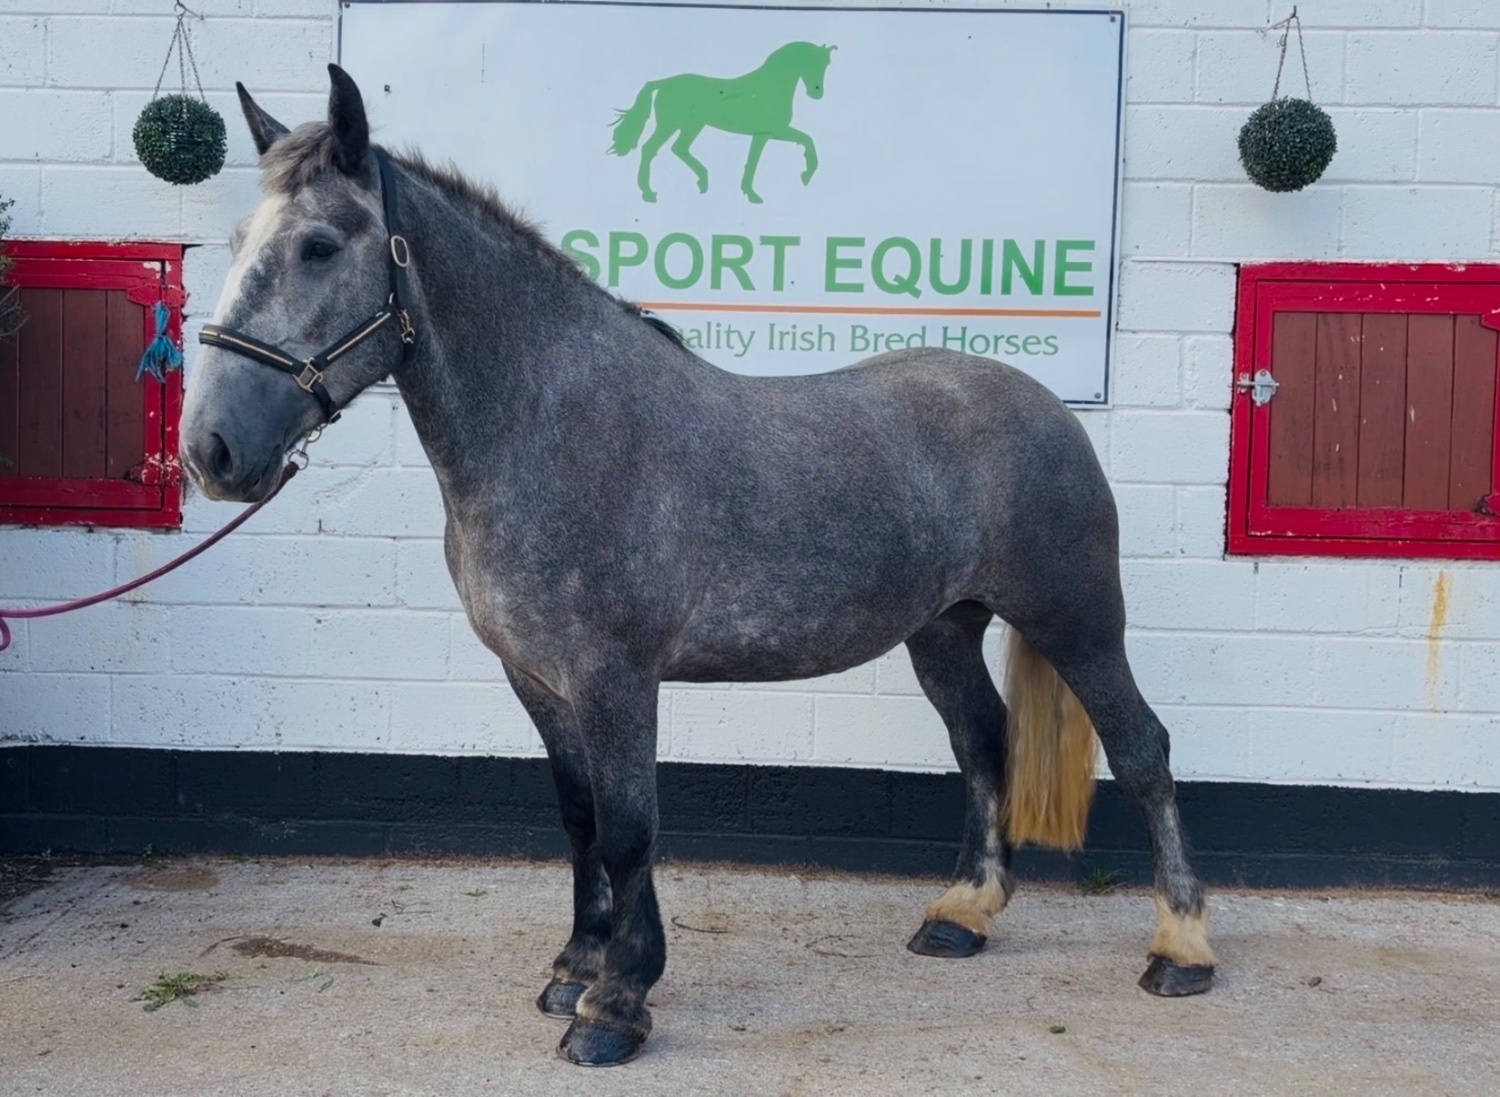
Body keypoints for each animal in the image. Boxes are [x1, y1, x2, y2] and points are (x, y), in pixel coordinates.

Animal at [181, 65, 1216, 1068]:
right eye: (234, 239)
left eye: (319, 245)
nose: (211, 449)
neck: (552, 428)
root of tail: (1042, 404)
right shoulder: (536, 678)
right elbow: (581, 819)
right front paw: (575, 966)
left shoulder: (615, 676)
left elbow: (630, 827)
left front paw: (615, 1002)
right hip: (945, 629)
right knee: (982, 740)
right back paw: (963, 914)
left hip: (1076, 619)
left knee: (1143, 749)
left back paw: (1181, 947)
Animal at [607, 41, 835, 204]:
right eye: (811, 61)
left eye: (826, 65)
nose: (817, 93)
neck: (770, 86)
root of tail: (662, 83)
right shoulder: (777, 130)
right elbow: (807, 140)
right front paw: (806, 175)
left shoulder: (763, 134)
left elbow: (753, 161)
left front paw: (751, 193)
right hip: (671, 124)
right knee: (650, 148)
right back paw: (649, 193)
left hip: (692, 125)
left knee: (678, 148)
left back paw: (703, 180)